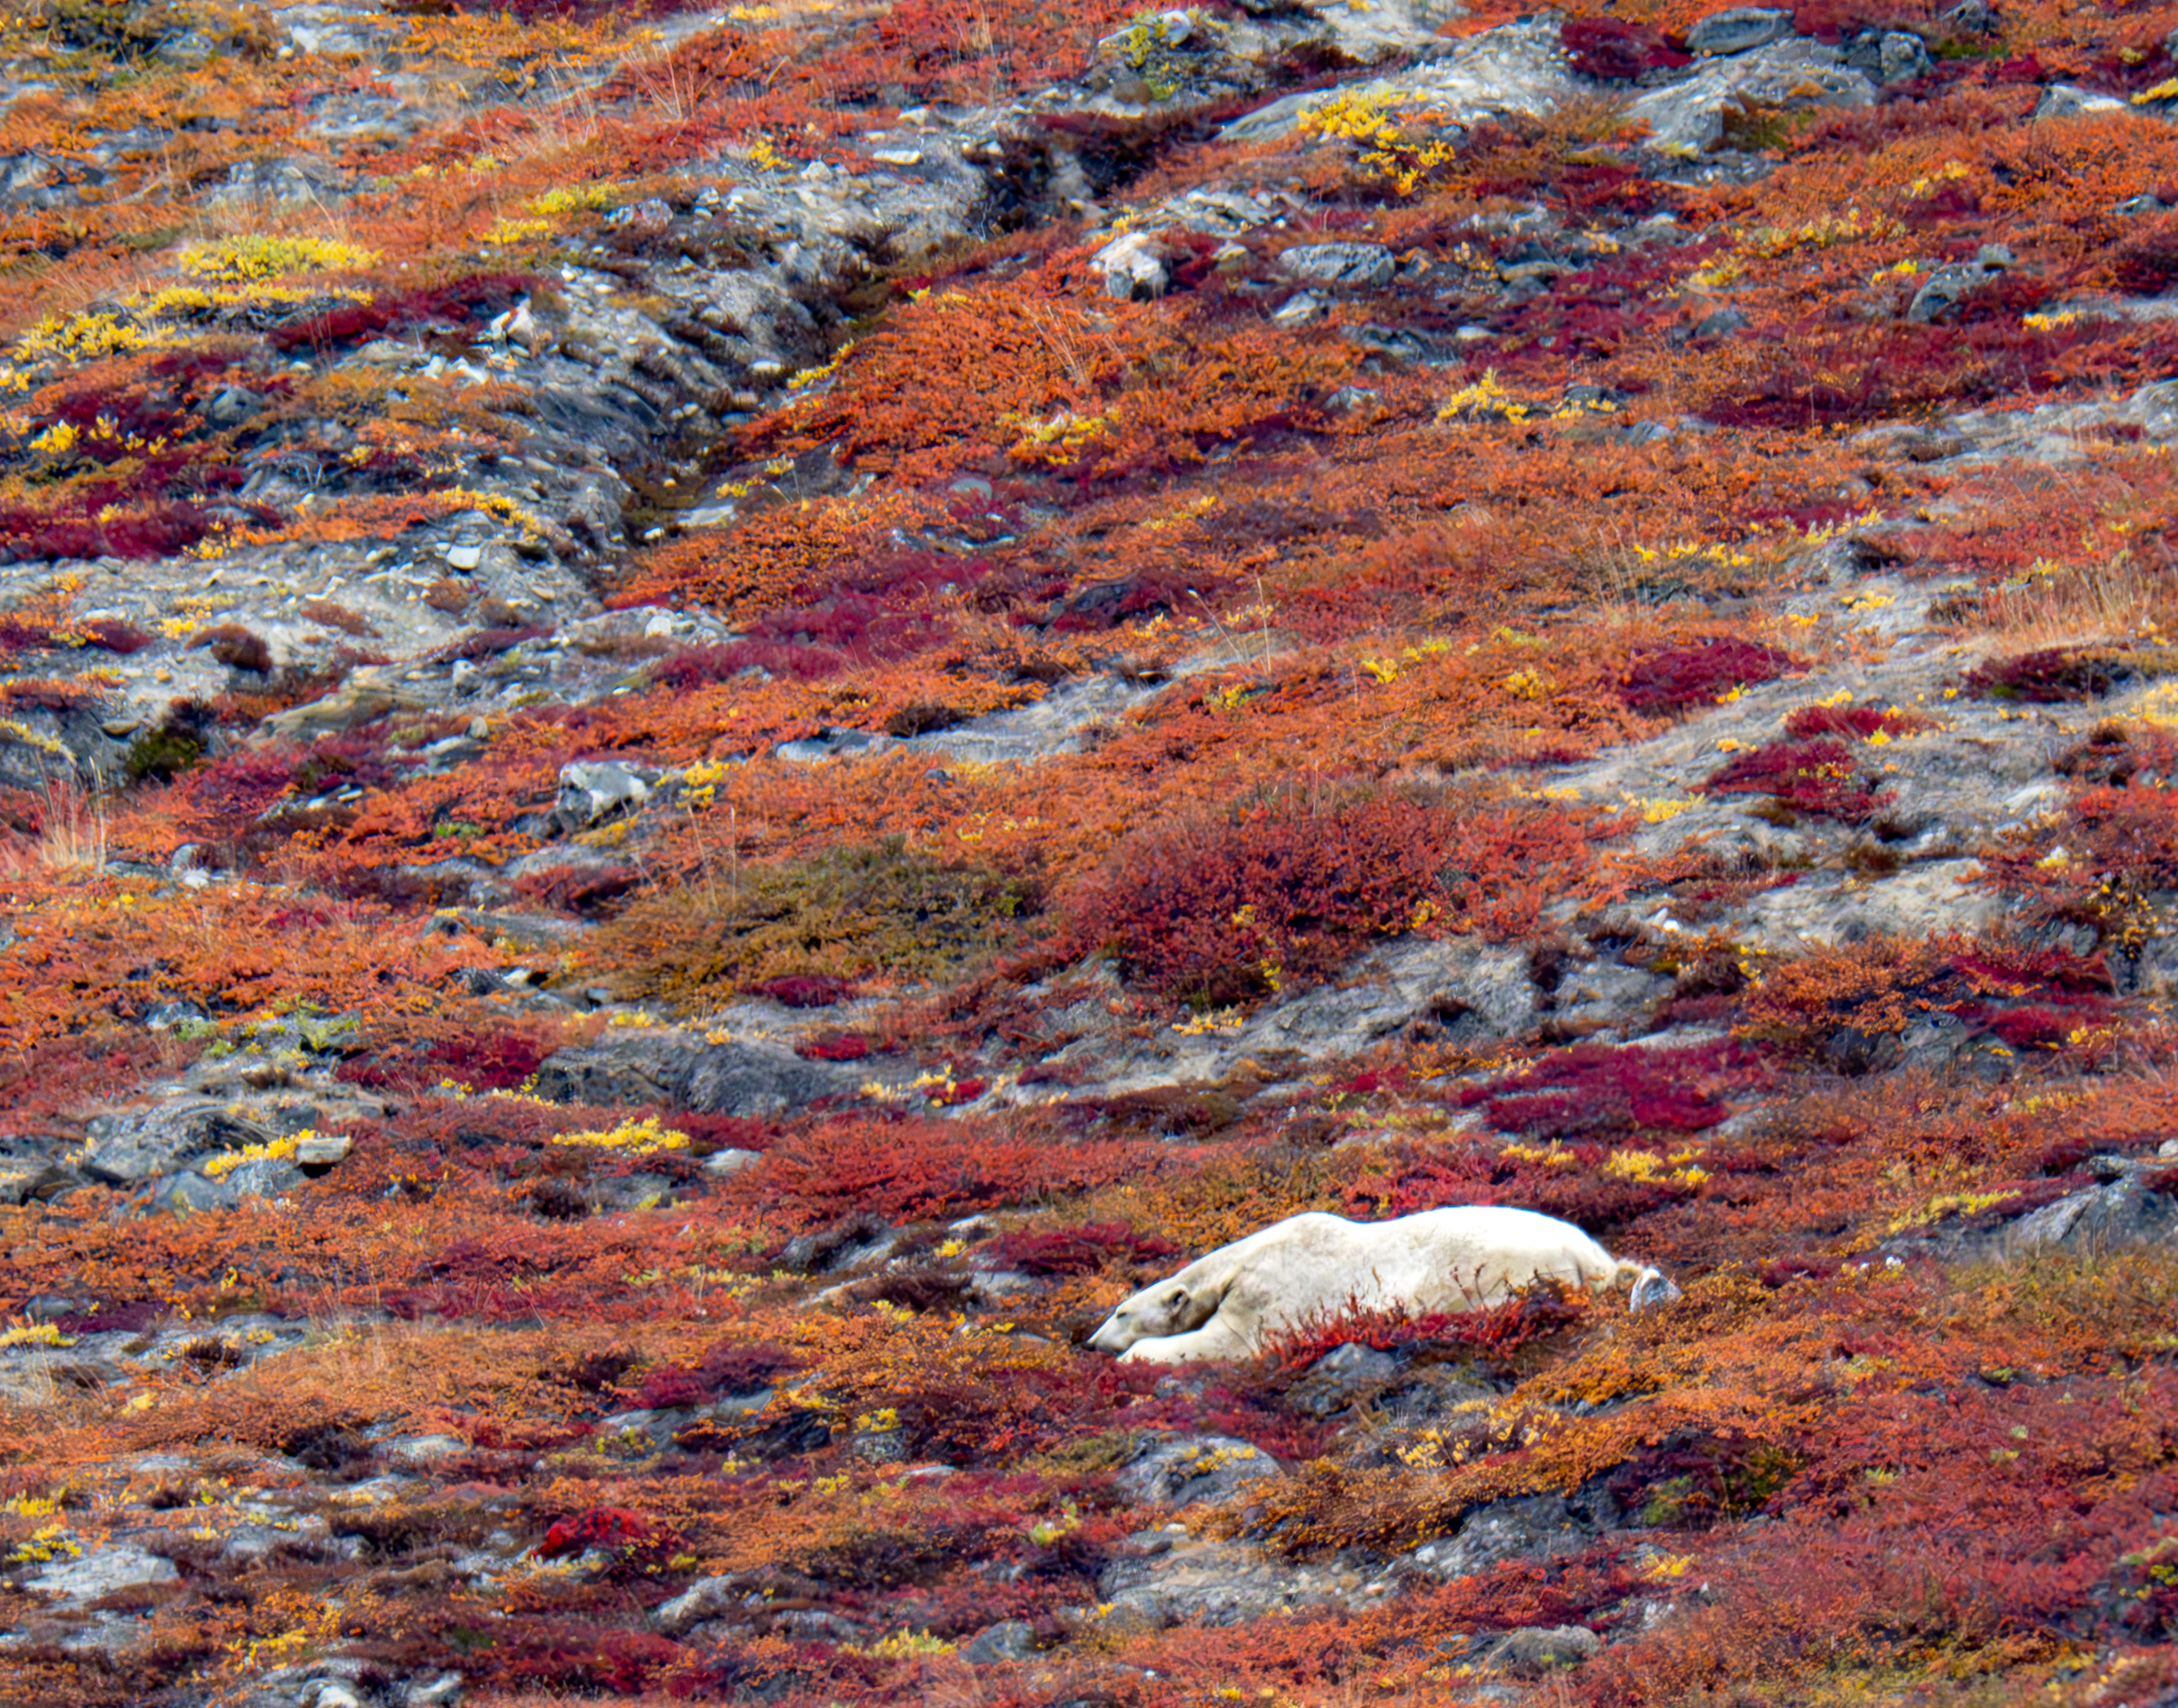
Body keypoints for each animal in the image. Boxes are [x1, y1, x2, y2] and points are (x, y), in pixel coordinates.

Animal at [1085, 1205, 1681, 1364]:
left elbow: (1230, 1342)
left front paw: (1135, 1357)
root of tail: (1591, 1257)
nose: (1090, 1343)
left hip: (1507, 1269)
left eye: (1120, 1313)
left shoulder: (1272, 1292)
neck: (1239, 1263)